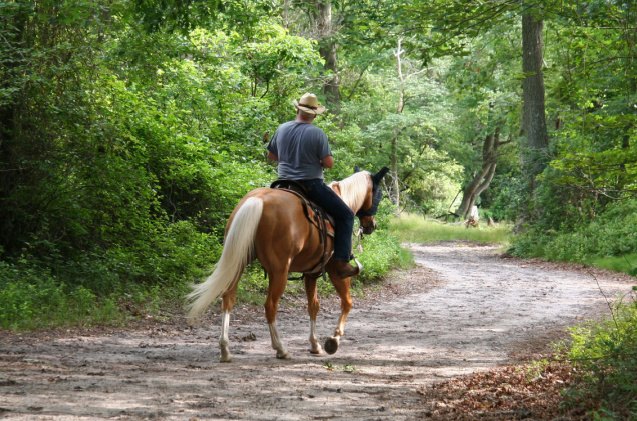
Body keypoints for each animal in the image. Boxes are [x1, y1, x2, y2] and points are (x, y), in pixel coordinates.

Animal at [186, 167, 390, 360]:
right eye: (378, 194)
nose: (371, 225)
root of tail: (258, 200)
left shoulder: (311, 274)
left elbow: (313, 306)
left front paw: (315, 344)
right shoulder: (335, 270)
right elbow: (347, 303)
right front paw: (333, 340)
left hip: (238, 262)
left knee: (228, 298)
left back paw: (225, 349)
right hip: (279, 271)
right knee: (270, 306)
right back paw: (281, 349)